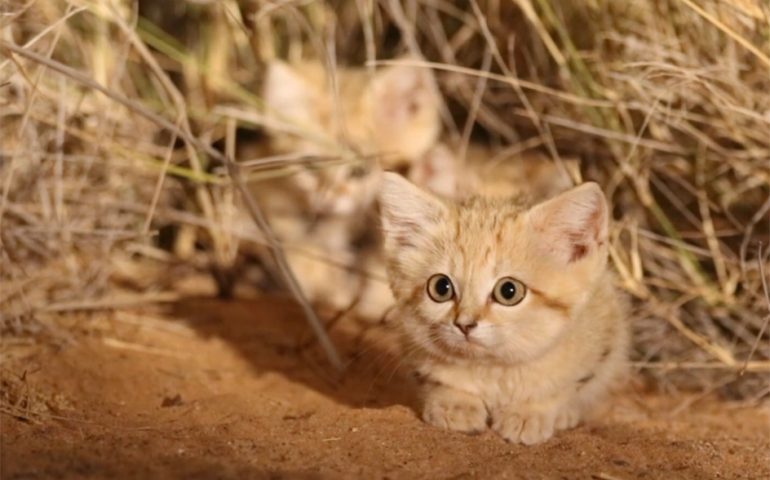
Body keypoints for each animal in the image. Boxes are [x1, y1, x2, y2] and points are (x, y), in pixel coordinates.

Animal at [376, 173, 624, 446]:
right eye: (441, 287)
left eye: (509, 291)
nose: (464, 324)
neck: (493, 368)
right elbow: (439, 379)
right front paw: (455, 403)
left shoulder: (601, 340)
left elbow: (564, 387)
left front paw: (530, 412)